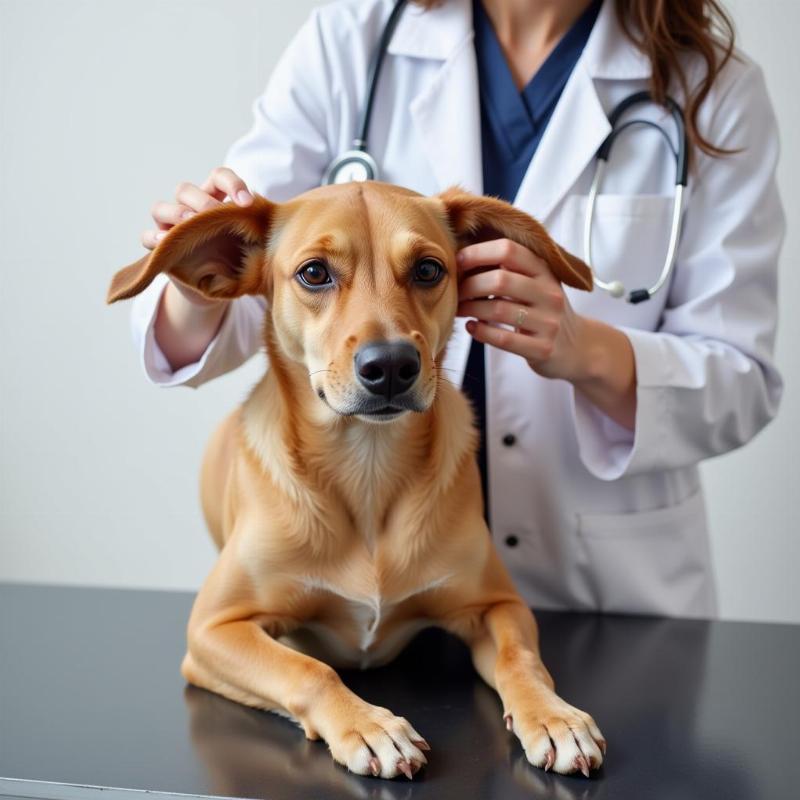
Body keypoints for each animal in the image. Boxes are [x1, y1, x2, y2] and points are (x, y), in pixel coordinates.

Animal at [108, 183, 608, 780]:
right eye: (314, 273)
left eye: (428, 269)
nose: (390, 365)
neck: (367, 466)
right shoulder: (214, 628)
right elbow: (308, 669)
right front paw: (369, 726)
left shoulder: (498, 604)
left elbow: (521, 658)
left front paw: (553, 716)